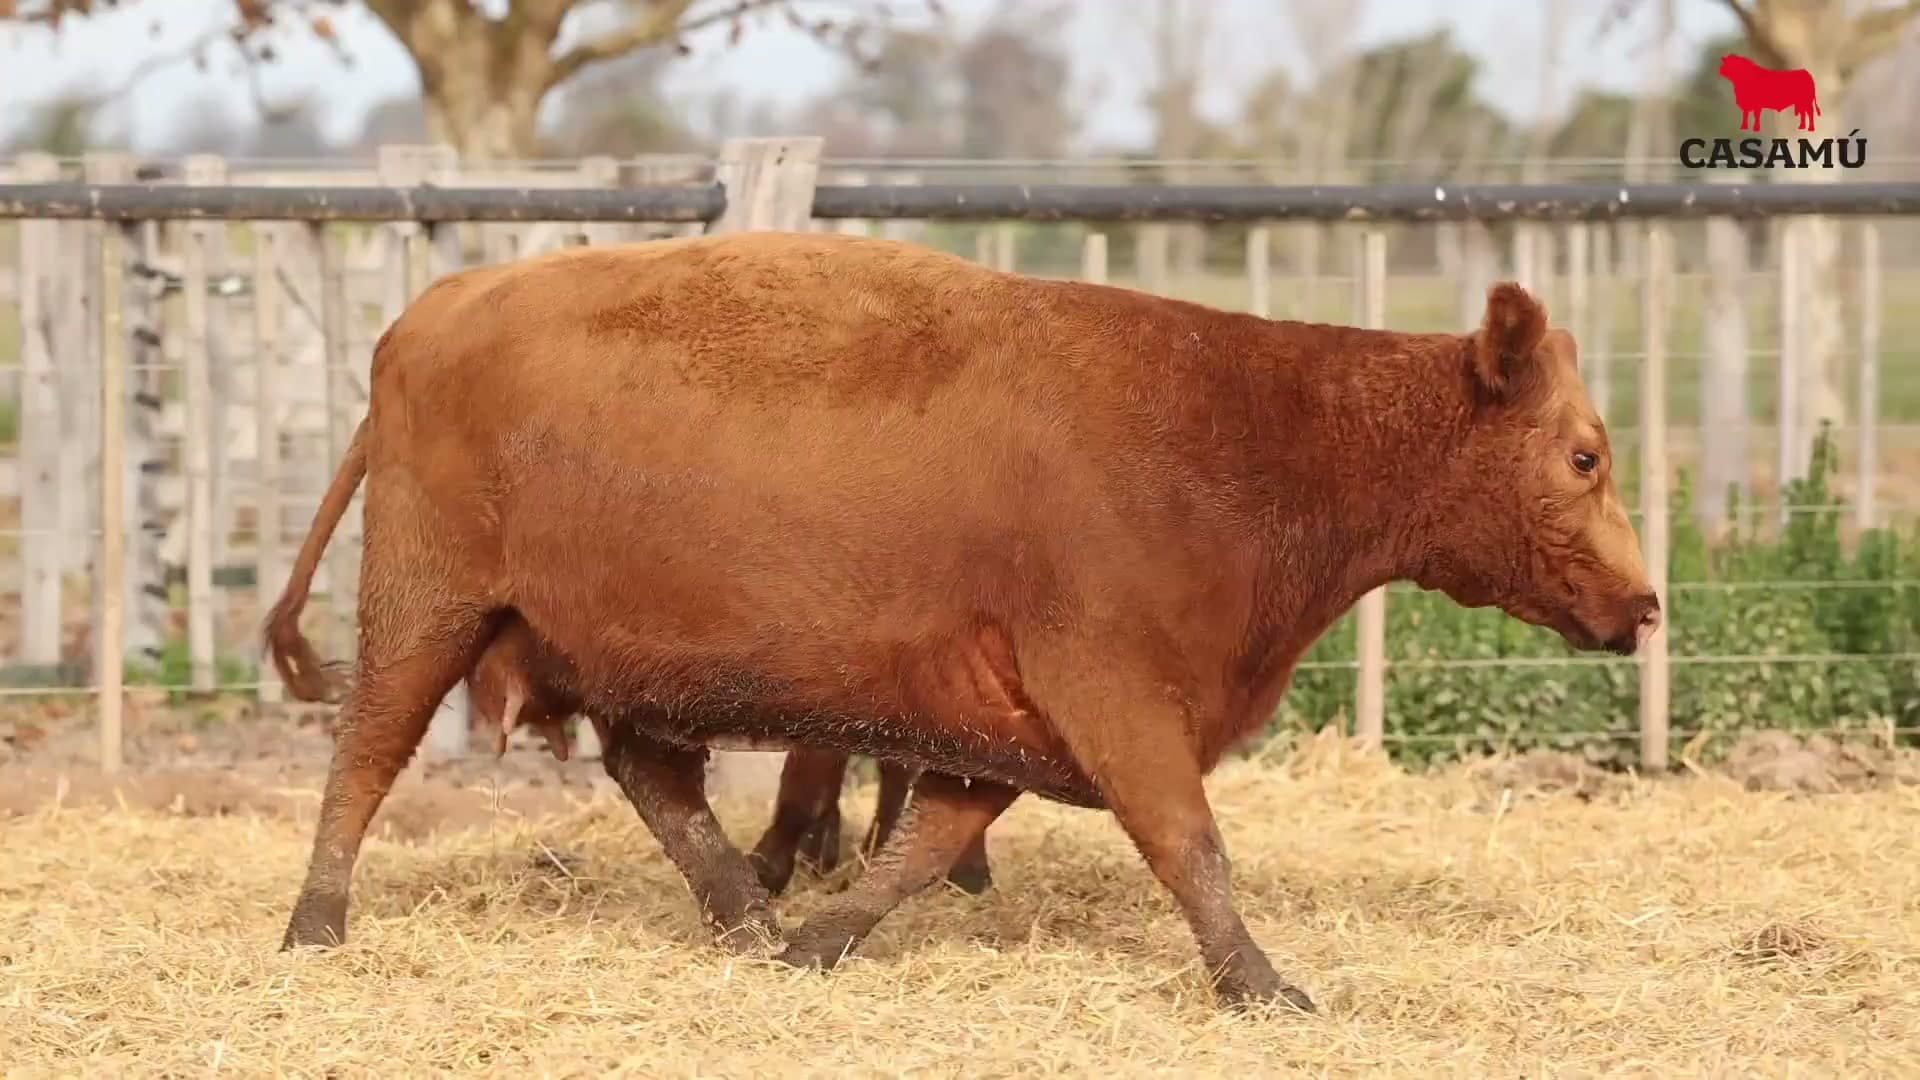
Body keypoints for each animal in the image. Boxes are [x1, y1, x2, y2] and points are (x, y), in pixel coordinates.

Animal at [268, 231, 1659, 1014]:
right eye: (1586, 455)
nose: (1646, 604)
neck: (1250, 437)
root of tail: (424, 316)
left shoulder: (1009, 722)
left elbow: (923, 844)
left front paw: (817, 945)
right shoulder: (1114, 695)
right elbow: (1191, 848)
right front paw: (1266, 988)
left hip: (610, 655)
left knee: (657, 779)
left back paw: (747, 914)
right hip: (426, 612)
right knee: (364, 758)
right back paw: (315, 924)